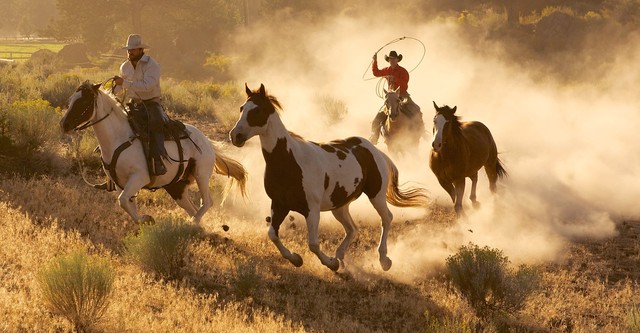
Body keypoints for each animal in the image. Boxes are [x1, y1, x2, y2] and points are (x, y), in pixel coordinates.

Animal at [58, 81, 248, 224]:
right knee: (192, 207)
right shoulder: (121, 183)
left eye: (83, 102)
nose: (64, 124)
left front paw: (146, 219)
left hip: (201, 174)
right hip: (176, 186)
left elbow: (122, 201)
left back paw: (193, 221)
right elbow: (126, 203)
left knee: (206, 202)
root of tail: (207, 141)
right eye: (71, 100)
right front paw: (145, 219)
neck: (119, 138)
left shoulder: (139, 177)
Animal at [230, 83, 430, 270]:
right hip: (340, 206)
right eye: (241, 108)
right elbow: (272, 235)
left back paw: (383, 260)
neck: (289, 160)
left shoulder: (312, 209)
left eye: (257, 110)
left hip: (376, 195)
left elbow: (312, 244)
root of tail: (375, 151)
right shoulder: (279, 204)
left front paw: (331, 264)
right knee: (352, 229)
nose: (235, 136)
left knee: (386, 218)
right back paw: (341, 257)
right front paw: (296, 259)